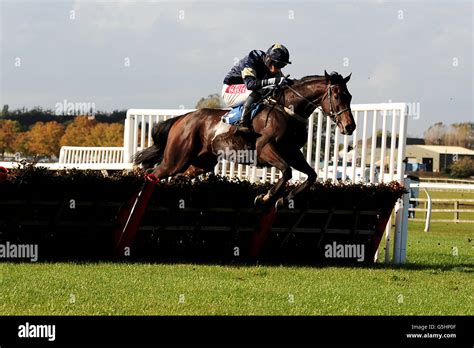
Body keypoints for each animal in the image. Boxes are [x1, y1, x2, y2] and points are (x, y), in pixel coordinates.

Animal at [133, 70, 356, 207]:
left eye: (350, 96)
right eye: (337, 96)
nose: (350, 126)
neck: (287, 111)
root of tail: (183, 118)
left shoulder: (293, 152)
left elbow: (311, 176)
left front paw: (284, 200)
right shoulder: (266, 149)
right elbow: (286, 172)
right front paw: (265, 197)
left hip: (201, 162)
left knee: (178, 175)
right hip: (176, 159)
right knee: (154, 173)